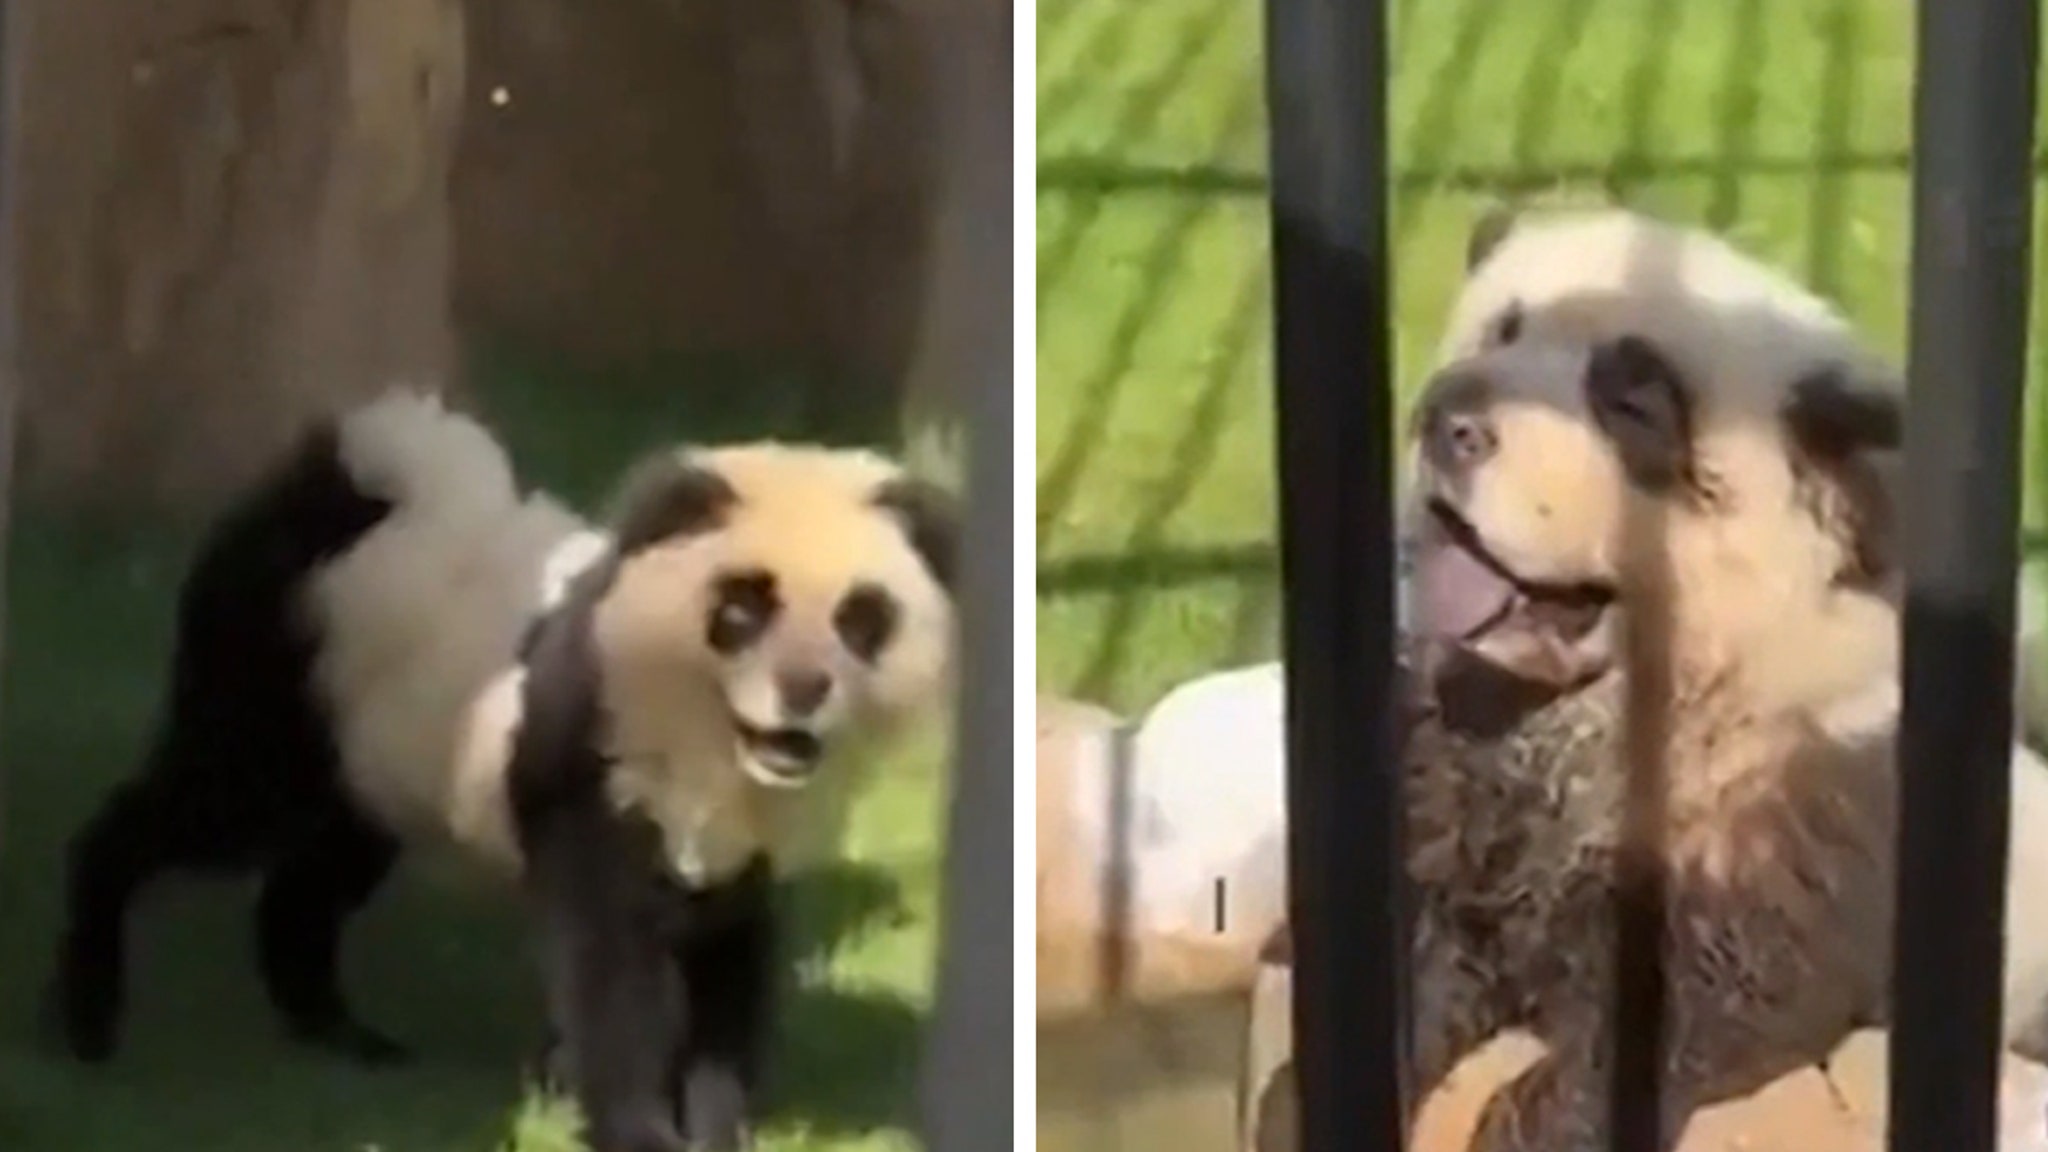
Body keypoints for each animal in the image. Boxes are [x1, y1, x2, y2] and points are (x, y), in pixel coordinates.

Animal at [47, 388, 957, 1152]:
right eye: (743, 607)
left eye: (860, 617)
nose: (804, 691)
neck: (709, 745)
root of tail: (333, 484)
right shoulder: (591, 767)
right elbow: (611, 975)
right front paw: (639, 1133)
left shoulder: (740, 860)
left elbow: (727, 980)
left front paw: (716, 1128)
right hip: (276, 689)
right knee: (194, 809)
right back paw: (90, 1013)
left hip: (379, 759)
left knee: (310, 884)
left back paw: (343, 1036)